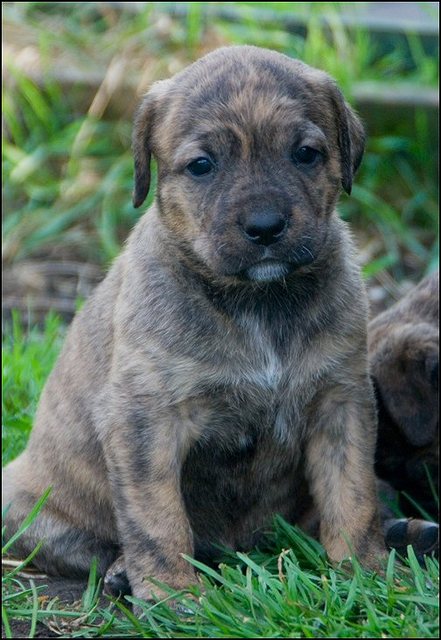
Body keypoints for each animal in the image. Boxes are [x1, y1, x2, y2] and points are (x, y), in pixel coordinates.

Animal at [5, 46, 386, 604]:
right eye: (202, 166)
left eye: (306, 154)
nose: (266, 227)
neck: (257, 301)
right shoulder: (146, 418)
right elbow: (156, 517)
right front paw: (174, 595)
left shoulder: (341, 401)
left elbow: (353, 492)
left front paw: (365, 571)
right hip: (25, 503)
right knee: (85, 545)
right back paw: (121, 572)